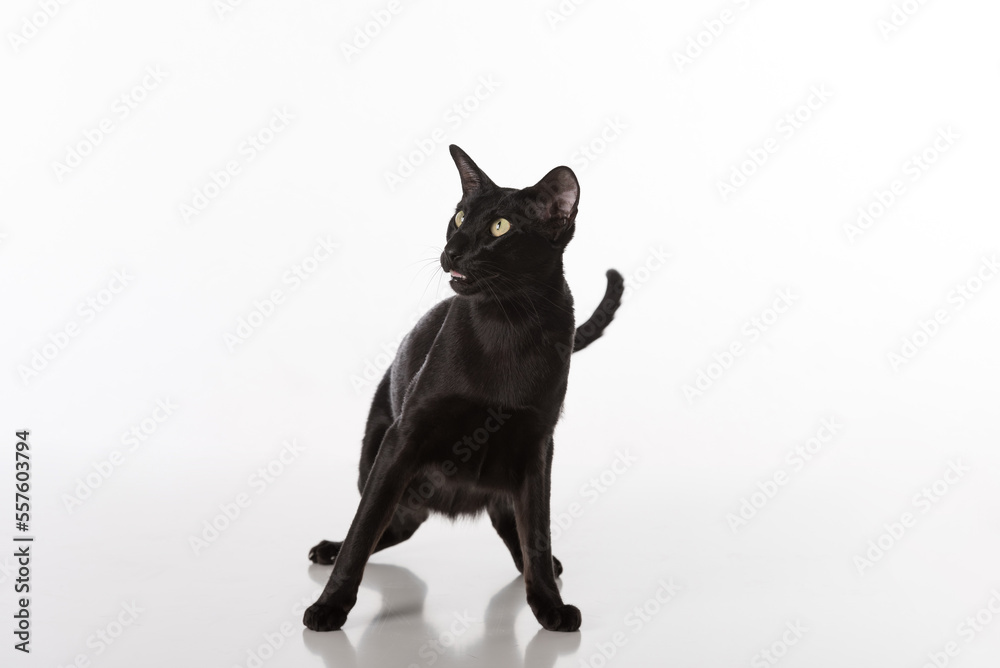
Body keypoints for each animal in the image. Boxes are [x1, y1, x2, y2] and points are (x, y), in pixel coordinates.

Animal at [300, 145, 620, 632]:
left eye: (499, 227)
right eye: (459, 216)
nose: (451, 250)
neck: (509, 322)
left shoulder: (538, 445)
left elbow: (538, 531)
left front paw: (549, 604)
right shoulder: (403, 437)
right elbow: (363, 528)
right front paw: (329, 607)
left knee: (509, 529)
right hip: (374, 458)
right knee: (390, 522)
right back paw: (328, 551)